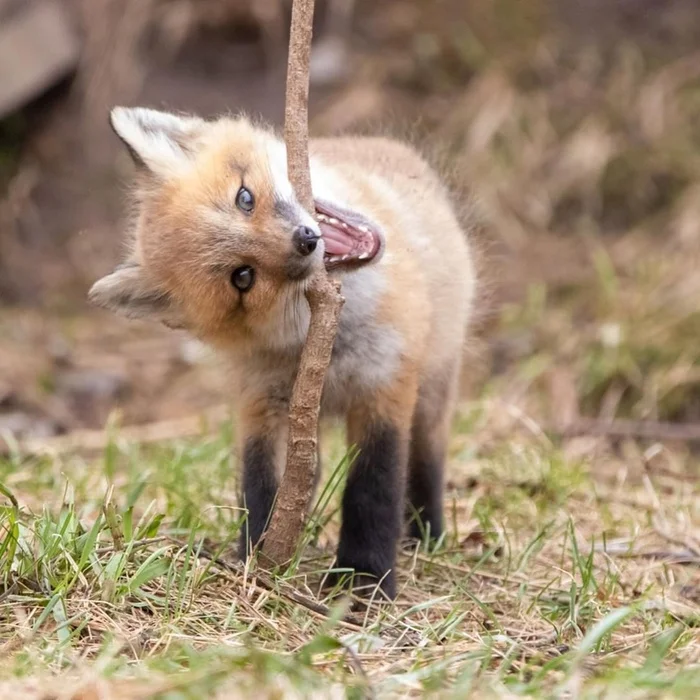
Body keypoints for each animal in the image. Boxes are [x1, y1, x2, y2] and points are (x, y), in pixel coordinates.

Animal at [90, 106, 476, 600]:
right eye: (242, 278)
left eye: (245, 198)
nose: (306, 239)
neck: (328, 338)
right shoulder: (263, 403)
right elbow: (261, 488)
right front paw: (258, 563)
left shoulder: (383, 386)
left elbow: (373, 489)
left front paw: (364, 581)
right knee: (311, 472)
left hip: (433, 392)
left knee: (426, 462)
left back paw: (428, 536)